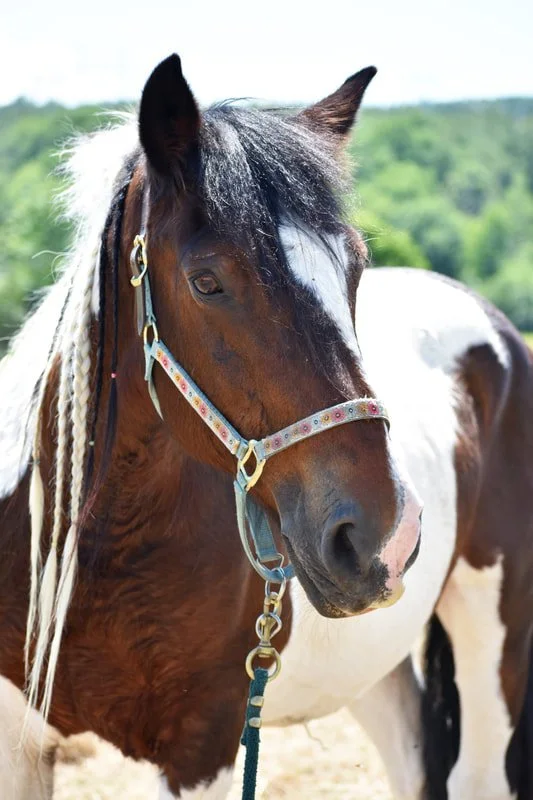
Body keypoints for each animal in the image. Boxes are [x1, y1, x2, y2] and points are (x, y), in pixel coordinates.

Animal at [0, 52, 532, 800]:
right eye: (206, 281)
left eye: (354, 269)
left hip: (494, 631)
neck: (95, 549)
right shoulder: (17, 743)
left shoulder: (204, 746)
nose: (384, 536)